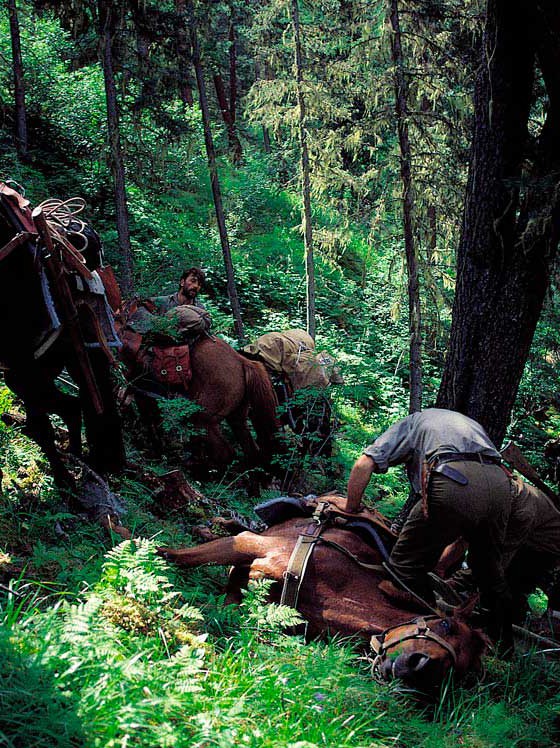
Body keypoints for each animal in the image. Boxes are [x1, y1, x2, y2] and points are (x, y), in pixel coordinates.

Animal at [159, 495, 489, 693]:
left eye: (458, 672)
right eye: (445, 623)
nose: (420, 668)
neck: (335, 585)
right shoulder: (253, 545)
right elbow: (178, 556)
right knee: (237, 525)